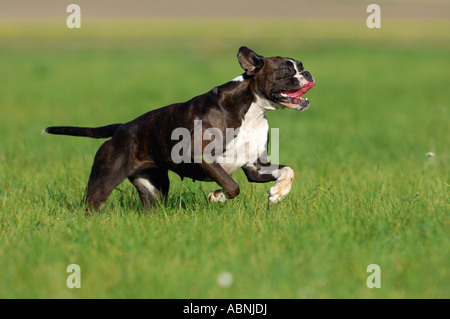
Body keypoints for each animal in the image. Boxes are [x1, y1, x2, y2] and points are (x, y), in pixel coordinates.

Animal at [44, 46, 314, 211]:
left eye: (300, 65)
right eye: (285, 70)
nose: (308, 73)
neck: (252, 108)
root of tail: (121, 128)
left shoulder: (255, 167)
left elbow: (288, 170)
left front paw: (278, 193)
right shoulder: (200, 155)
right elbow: (232, 186)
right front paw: (217, 196)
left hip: (153, 190)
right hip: (102, 183)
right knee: (91, 206)